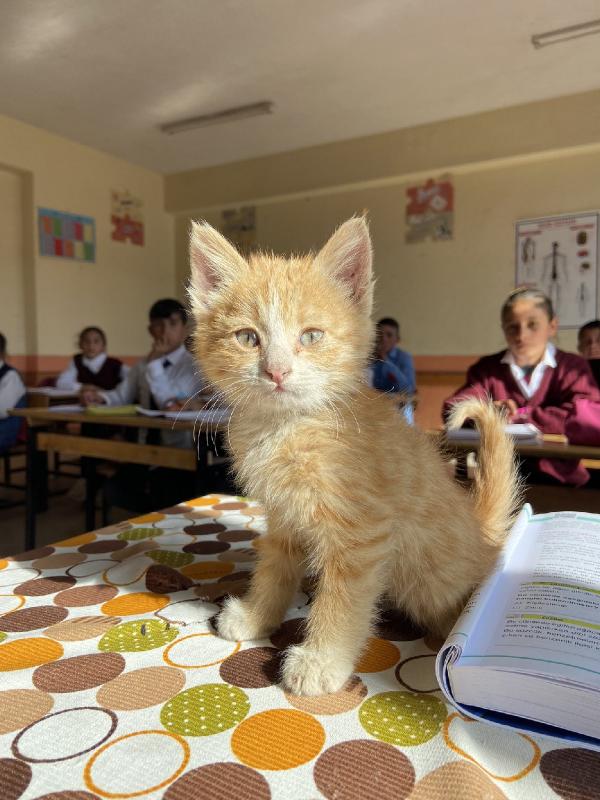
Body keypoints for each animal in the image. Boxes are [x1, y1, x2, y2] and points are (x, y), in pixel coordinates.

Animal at [190, 217, 516, 692]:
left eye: (311, 335)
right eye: (247, 338)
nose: (276, 371)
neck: (289, 427)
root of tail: (482, 536)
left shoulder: (364, 532)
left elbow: (344, 598)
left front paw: (322, 660)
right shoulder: (283, 515)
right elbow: (274, 568)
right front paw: (256, 616)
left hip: (434, 582)